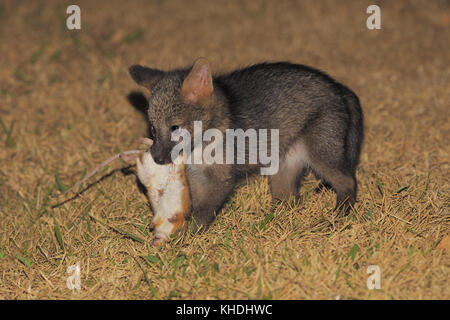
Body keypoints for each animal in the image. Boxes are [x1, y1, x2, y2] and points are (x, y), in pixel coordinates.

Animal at [128, 57, 364, 228]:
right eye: (153, 128)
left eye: (175, 128)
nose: (157, 158)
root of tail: (338, 86)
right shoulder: (196, 176)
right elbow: (193, 205)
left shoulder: (221, 179)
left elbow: (202, 213)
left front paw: (185, 235)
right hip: (282, 174)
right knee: (291, 201)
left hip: (322, 158)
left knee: (349, 181)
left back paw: (340, 215)